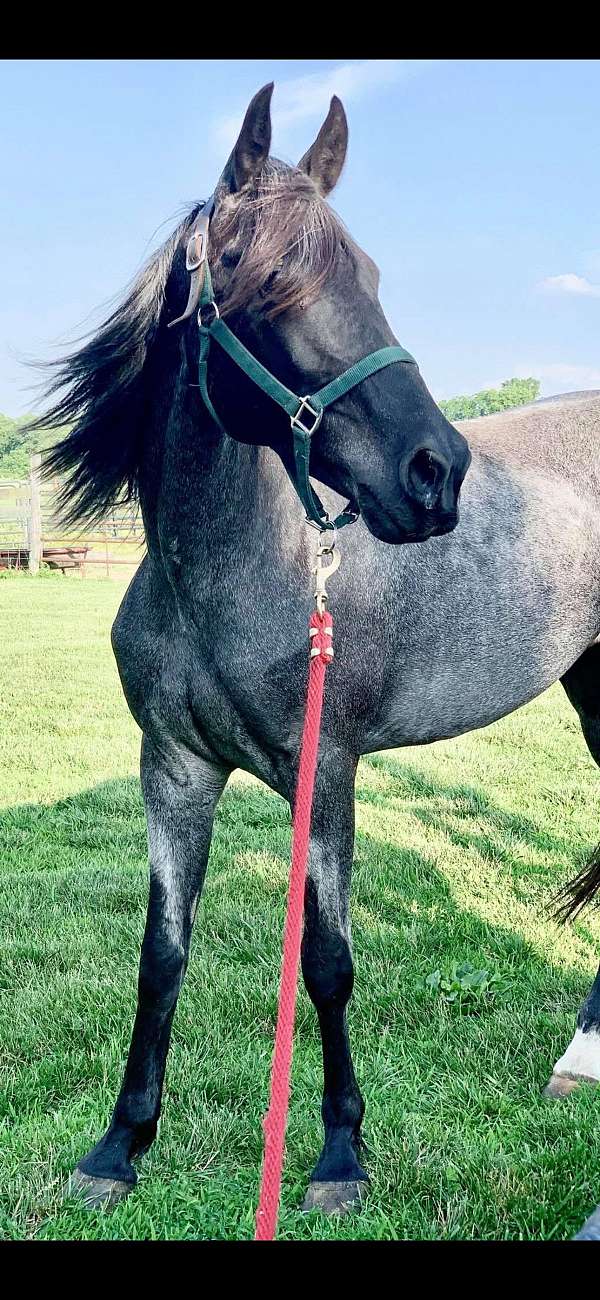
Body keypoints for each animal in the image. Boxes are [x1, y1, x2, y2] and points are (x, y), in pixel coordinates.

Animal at [31, 84, 600, 1237]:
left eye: (370, 277)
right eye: (272, 282)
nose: (435, 473)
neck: (231, 575)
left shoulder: (324, 772)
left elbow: (328, 963)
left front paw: (340, 1153)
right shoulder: (175, 772)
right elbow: (160, 956)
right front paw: (120, 1145)